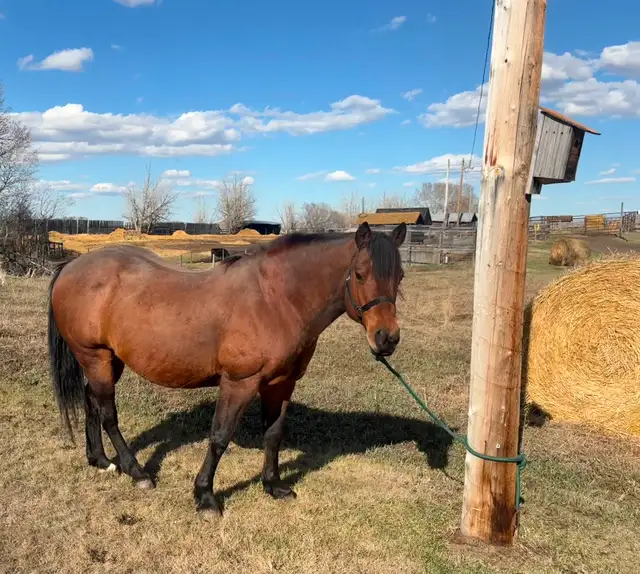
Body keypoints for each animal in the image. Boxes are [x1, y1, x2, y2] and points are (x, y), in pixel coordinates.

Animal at [47, 221, 407, 516]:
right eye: (360, 274)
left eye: (399, 276)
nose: (386, 339)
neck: (276, 300)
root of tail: (71, 266)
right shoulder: (239, 383)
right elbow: (220, 436)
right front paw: (205, 497)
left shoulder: (281, 384)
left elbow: (273, 434)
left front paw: (273, 486)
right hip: (95, 357)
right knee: (108, 414)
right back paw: (136, 472)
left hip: (108, 359)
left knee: (91, 401)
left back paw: (100, 460)